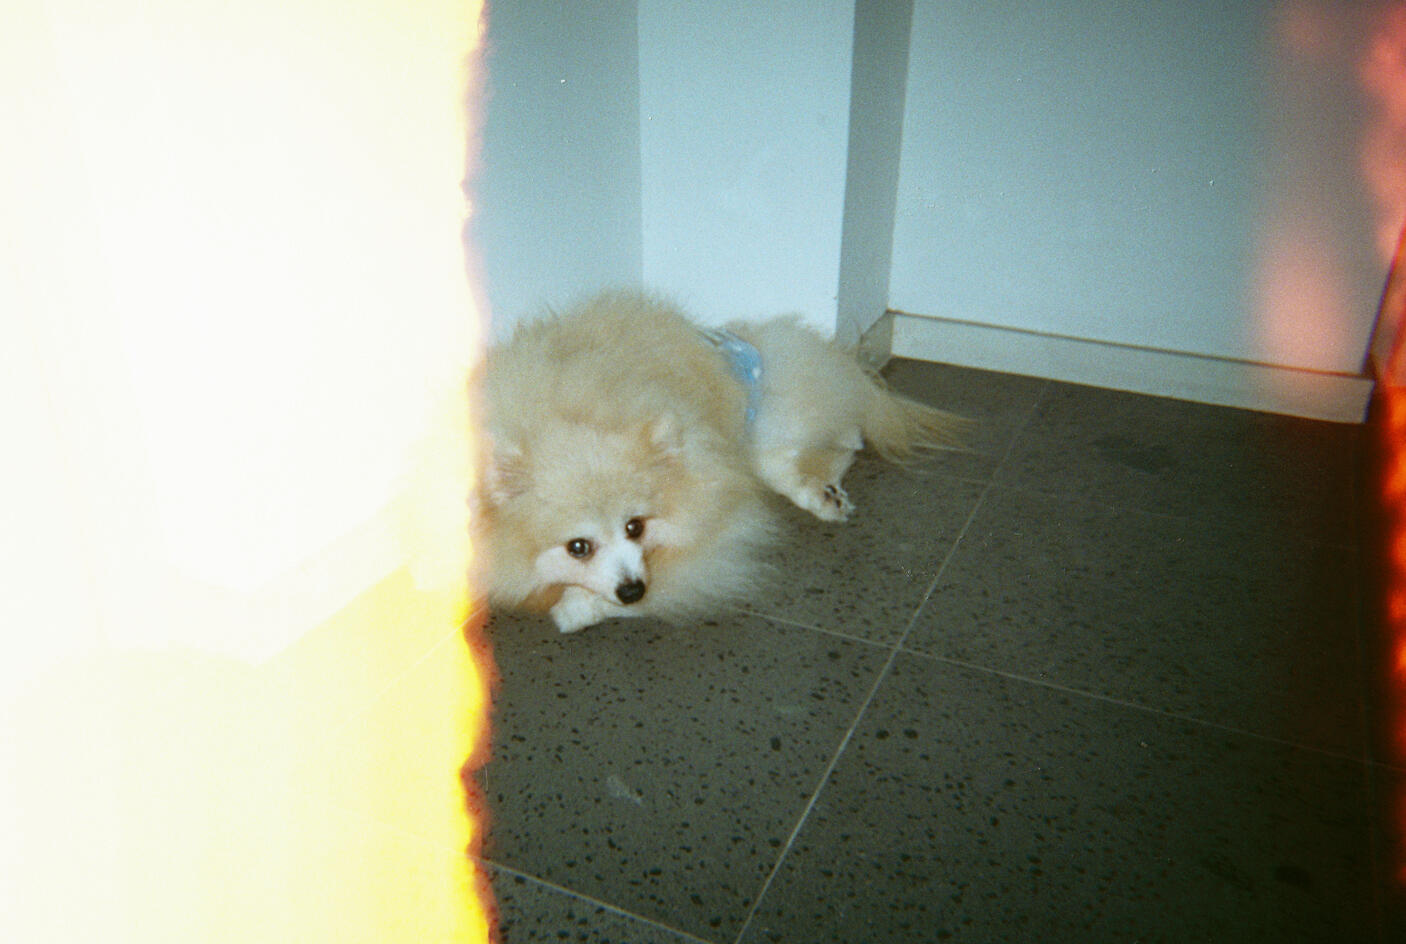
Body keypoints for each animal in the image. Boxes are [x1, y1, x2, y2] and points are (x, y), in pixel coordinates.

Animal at [471, 290, 964, 633]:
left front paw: (576, 607)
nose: (632, 589)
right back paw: (825, 495)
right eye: (578, 547)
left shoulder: (715, 530)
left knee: (843, 437)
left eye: (635, 527)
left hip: (770, 420)